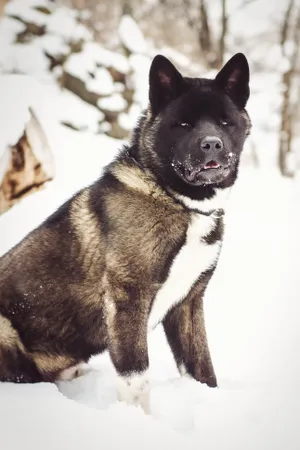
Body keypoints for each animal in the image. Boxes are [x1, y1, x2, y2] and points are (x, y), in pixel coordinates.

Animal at [0, 51, 251, 412]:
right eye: (184, 124)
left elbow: (203, 370)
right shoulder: (128, 298)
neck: (178, 200)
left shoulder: (188, 303)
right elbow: (136, 379)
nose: (212, 145)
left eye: (225, 122)